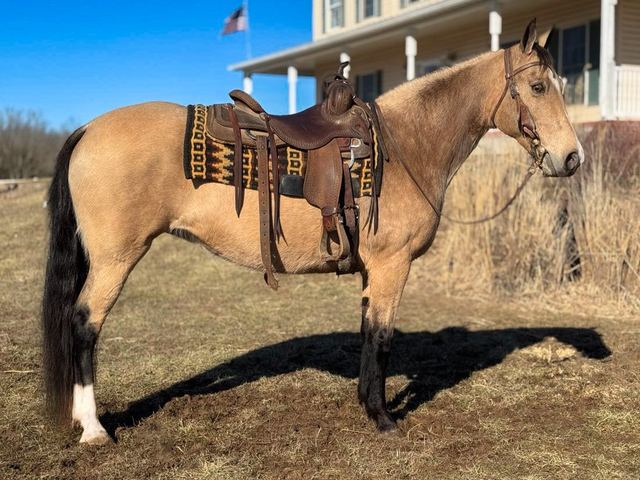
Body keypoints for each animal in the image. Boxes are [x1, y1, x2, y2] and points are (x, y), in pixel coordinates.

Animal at [42, 19, 583, 444]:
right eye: (539, 87)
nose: (572, 157)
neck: (405, 145)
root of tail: (89, 129)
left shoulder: (373, 271)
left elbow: (368, 333)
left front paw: (366, 403)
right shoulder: (392, 266)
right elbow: (383, 337)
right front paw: (383, 418)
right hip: (116, 259)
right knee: (86, 322)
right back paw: (94, 428)